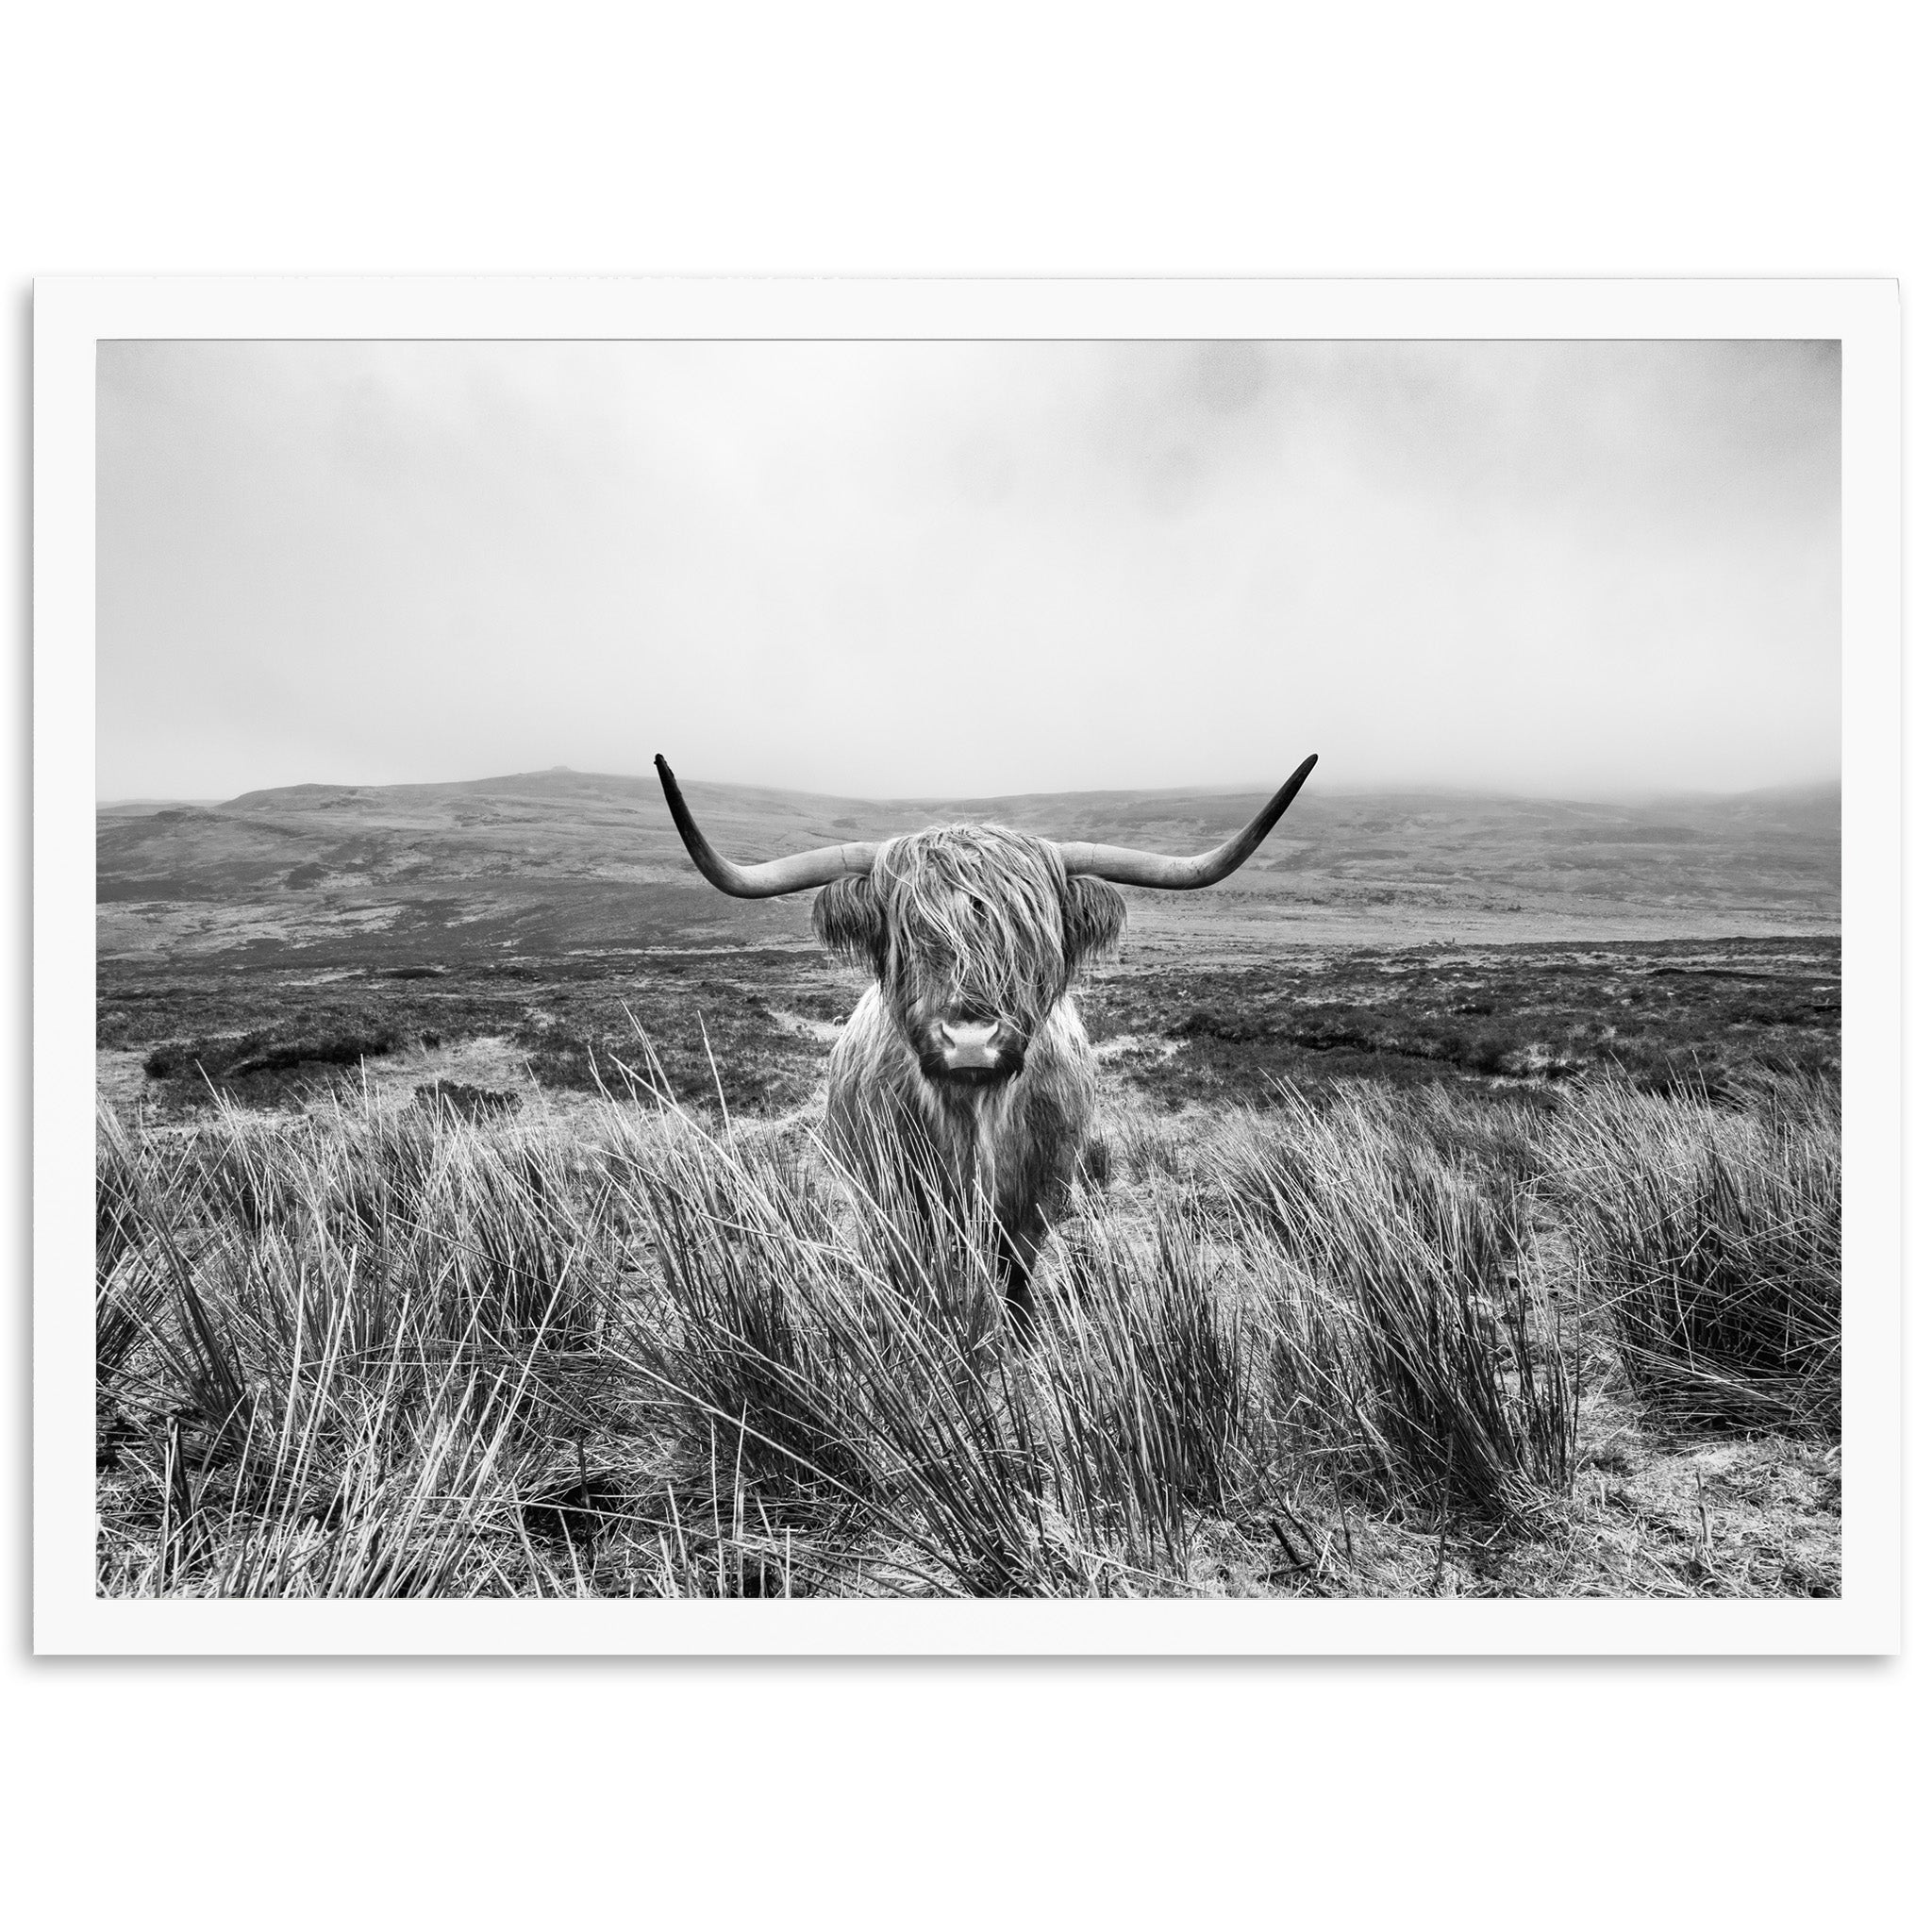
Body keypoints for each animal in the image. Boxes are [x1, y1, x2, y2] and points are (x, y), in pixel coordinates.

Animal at [657, 749, 1321, 1329]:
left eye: (1030, 937)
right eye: (908, 936)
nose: (970, 1039)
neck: (973, 1118)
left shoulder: (1039, 1195)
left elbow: (1018, 1273)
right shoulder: (896, 1199)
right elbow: (914, 1277)